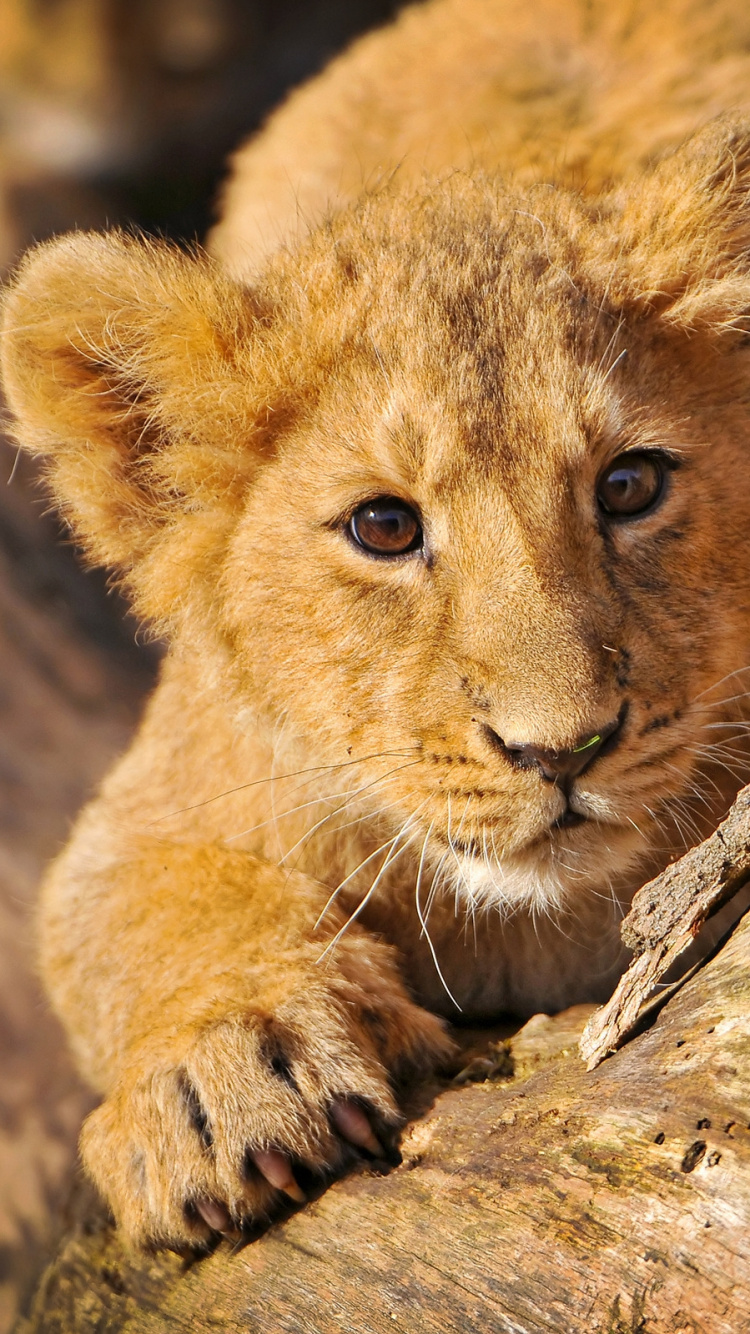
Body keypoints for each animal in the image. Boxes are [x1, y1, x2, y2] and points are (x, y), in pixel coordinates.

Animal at [3, 0, 750, 1248]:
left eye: (631, 485)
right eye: (384, 525)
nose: (564, 751)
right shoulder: (171, 788)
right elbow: (132, 909)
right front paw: (221, 1069)